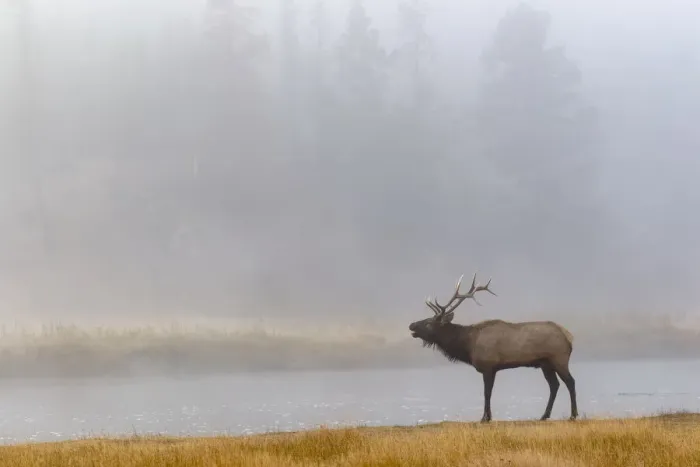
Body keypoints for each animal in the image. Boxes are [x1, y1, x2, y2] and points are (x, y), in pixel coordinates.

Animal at [408, 272, 578, 422]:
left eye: (429, 323)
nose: (411, 325)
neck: (468, 345)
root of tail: (569, 336)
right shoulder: (493, 368)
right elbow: (488, 393)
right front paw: (487, 416)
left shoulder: (488, 366)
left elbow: (487, 393)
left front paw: (485, 418)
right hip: (545, 363)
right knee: (554, 385)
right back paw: (544, 415)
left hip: (558, 359)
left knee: (570, 382)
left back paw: (573, 415)